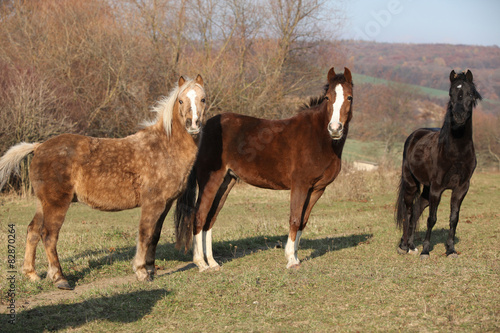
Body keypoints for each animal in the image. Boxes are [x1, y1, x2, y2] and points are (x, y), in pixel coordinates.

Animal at [0, 74, 207, 286]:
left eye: (203, 99)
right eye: (180, 101)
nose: (193, 124)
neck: (163, 147)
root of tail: (39, 147)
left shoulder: (165, 204)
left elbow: (154, 236)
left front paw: (150, 269)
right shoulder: (153, 203)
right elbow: (145, 234)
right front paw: (141, 271)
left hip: (43, 203)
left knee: (33, 231)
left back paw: (32, 274)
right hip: (57, 204)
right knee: (49, 235)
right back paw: (59, 278)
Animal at [174, 67, 354, 270]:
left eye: (349, 97)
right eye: (328, 98)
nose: (335, 128)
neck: (320, 138)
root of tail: (202, 129)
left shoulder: (317, 189)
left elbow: (303, 221)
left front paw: (296, 257)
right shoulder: (300, 185)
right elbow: (294, 218)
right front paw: (291, 259)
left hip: (226, 182)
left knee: (210, 219)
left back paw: (212, 262)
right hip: (210, 180)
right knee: (199, 216)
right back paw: (201, 263)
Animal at [396, 69, 482, 256]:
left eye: (470, 94)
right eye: (451, 93)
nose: (458, 116)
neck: (456, 152)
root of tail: (414, 135)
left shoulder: (461, 188)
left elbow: (454, 218)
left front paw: (450, 250)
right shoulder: (437, 187)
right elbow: (432, 219)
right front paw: (426, 251)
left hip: (426, 190)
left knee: (416, 210)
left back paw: (412, 245)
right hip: (412, 184)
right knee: (408, 212)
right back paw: (405, 246)